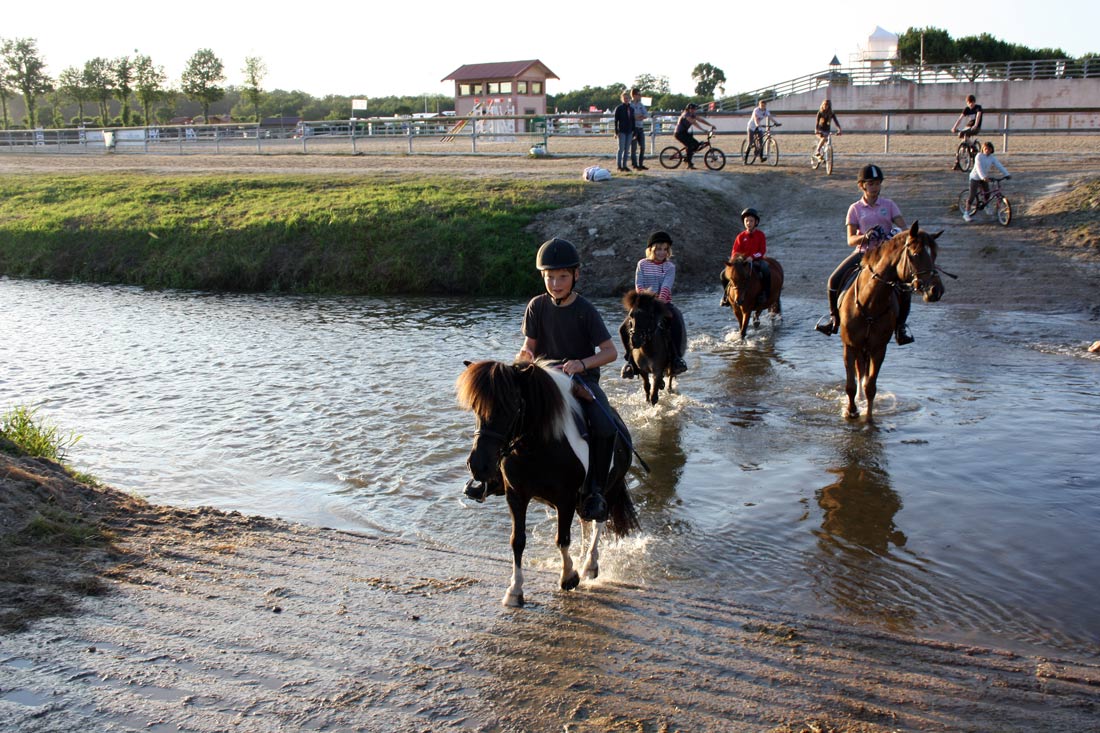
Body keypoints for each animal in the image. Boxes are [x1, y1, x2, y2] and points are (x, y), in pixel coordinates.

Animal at [455, 358, 642, 603]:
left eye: (512, 405)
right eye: (476, 406)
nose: (479, 466)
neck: (537, 447)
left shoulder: (566, 500)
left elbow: (562, 539)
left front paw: (569, 576)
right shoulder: (516, 496)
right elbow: (517, 540)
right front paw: (515, 590)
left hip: (609, 488)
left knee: (599, 520)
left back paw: (589, 565)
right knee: (586, 523)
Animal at [836, 220, 941, 420]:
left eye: (935, 255)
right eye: (915, 254)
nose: (936, 290)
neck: (870, 302)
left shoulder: (879, 348)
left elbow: (871, 387)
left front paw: (868, 418)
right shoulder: (850, 345)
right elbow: (850, 385)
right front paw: (851, 411)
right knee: (859, 371)